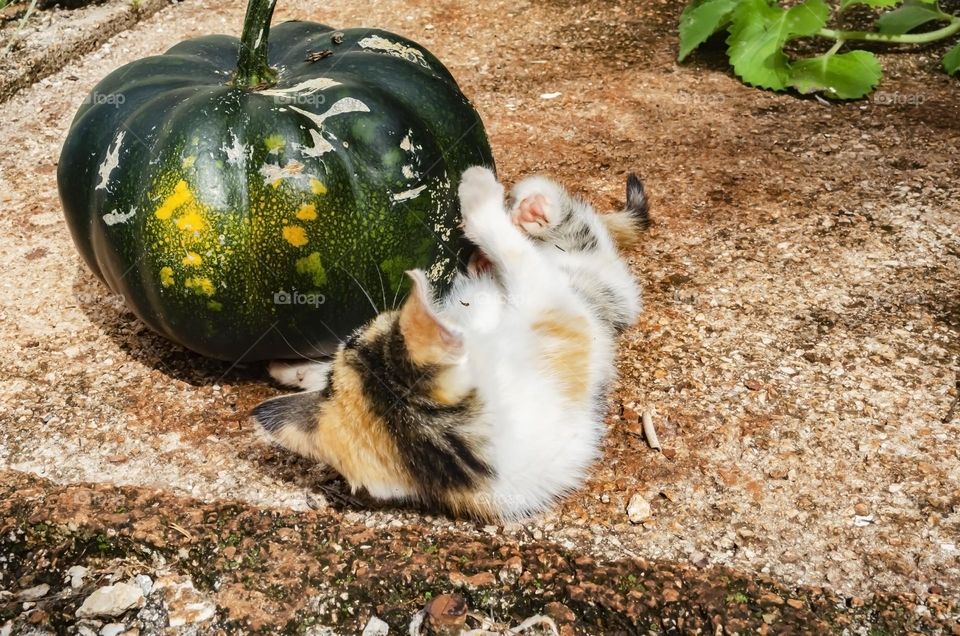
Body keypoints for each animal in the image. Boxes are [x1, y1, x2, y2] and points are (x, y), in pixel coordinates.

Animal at [251, 166, 648, 520]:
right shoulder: (559, 313)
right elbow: (514, 252)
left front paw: (296, 370)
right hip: (598, 281)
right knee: (574, 236)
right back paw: (528, 214)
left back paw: (519, 224)